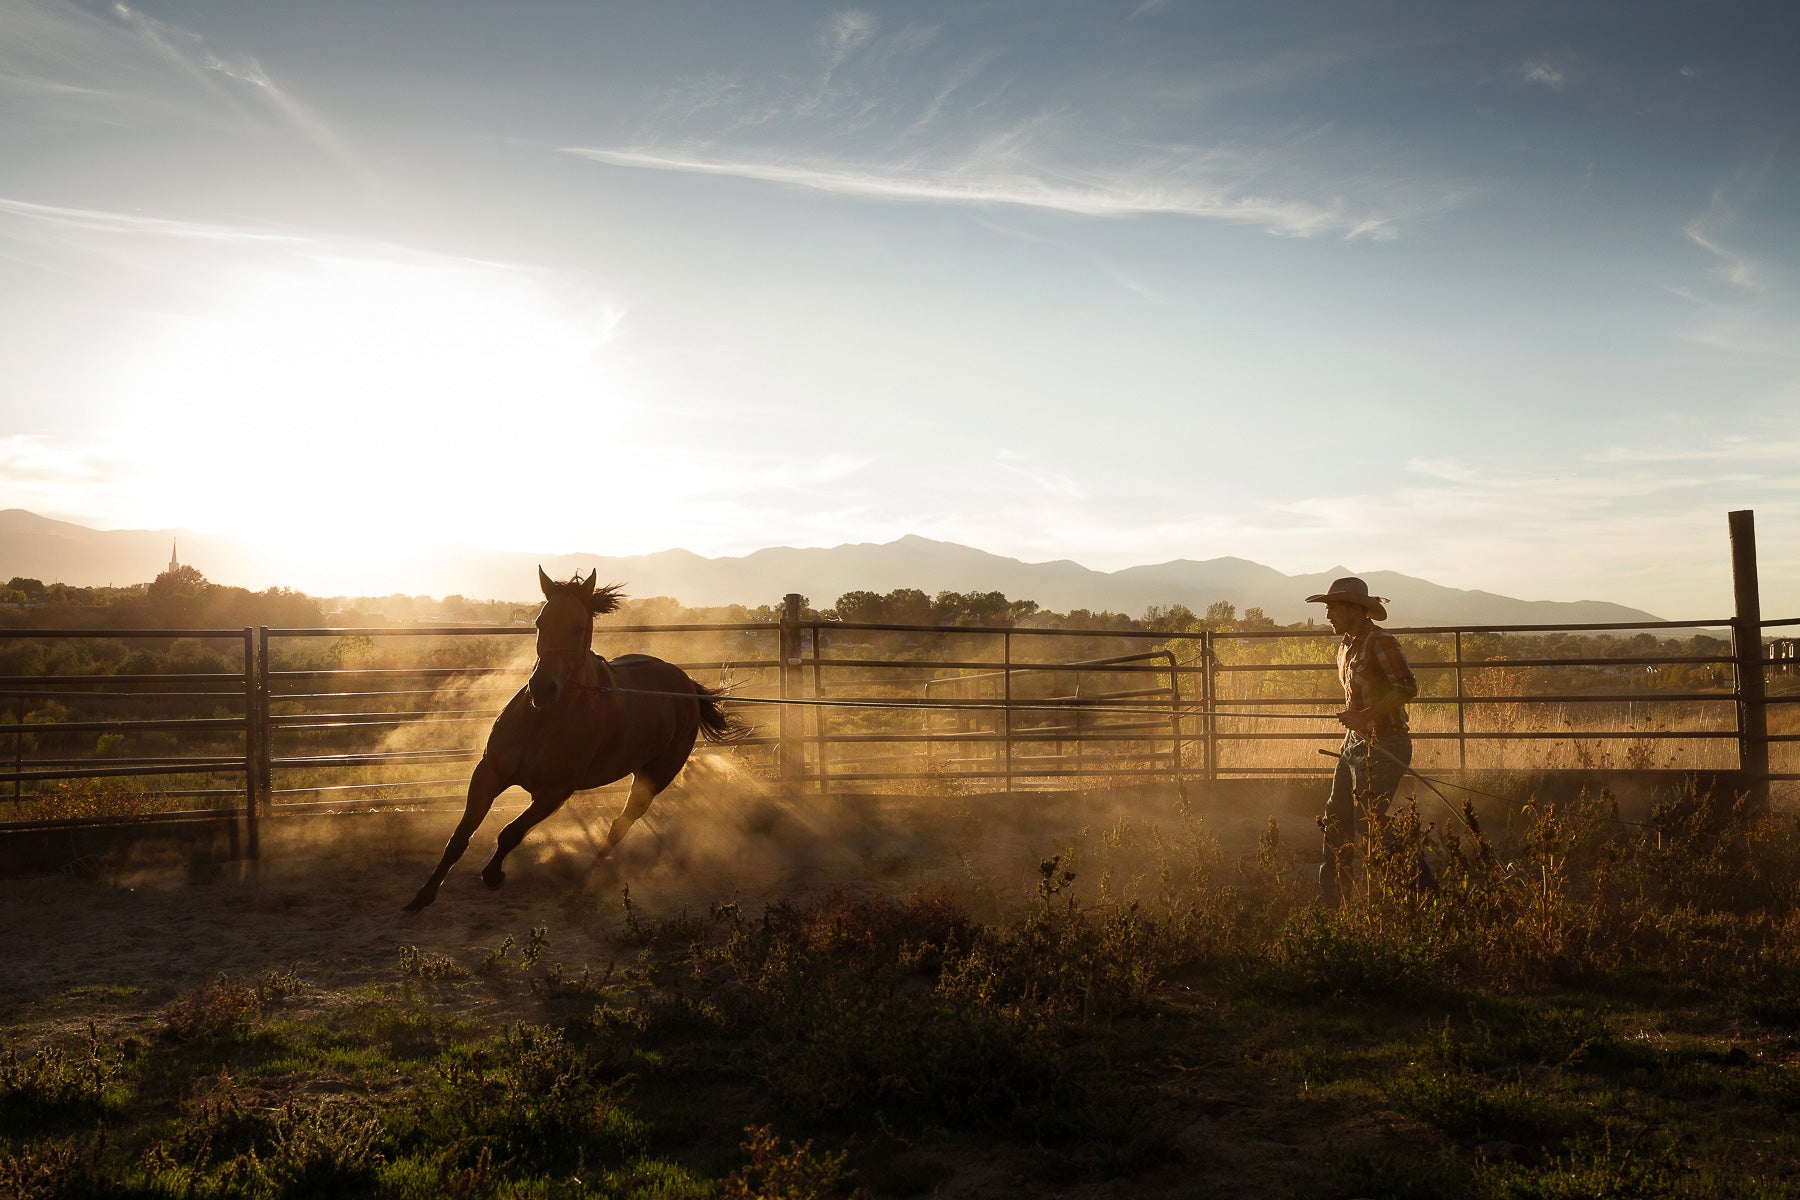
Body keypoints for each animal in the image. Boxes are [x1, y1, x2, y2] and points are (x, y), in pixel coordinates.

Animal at [403, 568, 745, 911]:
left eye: (578, 627)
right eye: (539, 622)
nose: (542, 689)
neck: (543, 722)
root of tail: (687, 685)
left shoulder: (555, 792)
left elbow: (511, 832)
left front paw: (493, 874)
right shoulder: (489, 773)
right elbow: (460, 837)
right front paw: (422, 895)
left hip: (654, 779)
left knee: (619, 826)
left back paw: (586, 877)